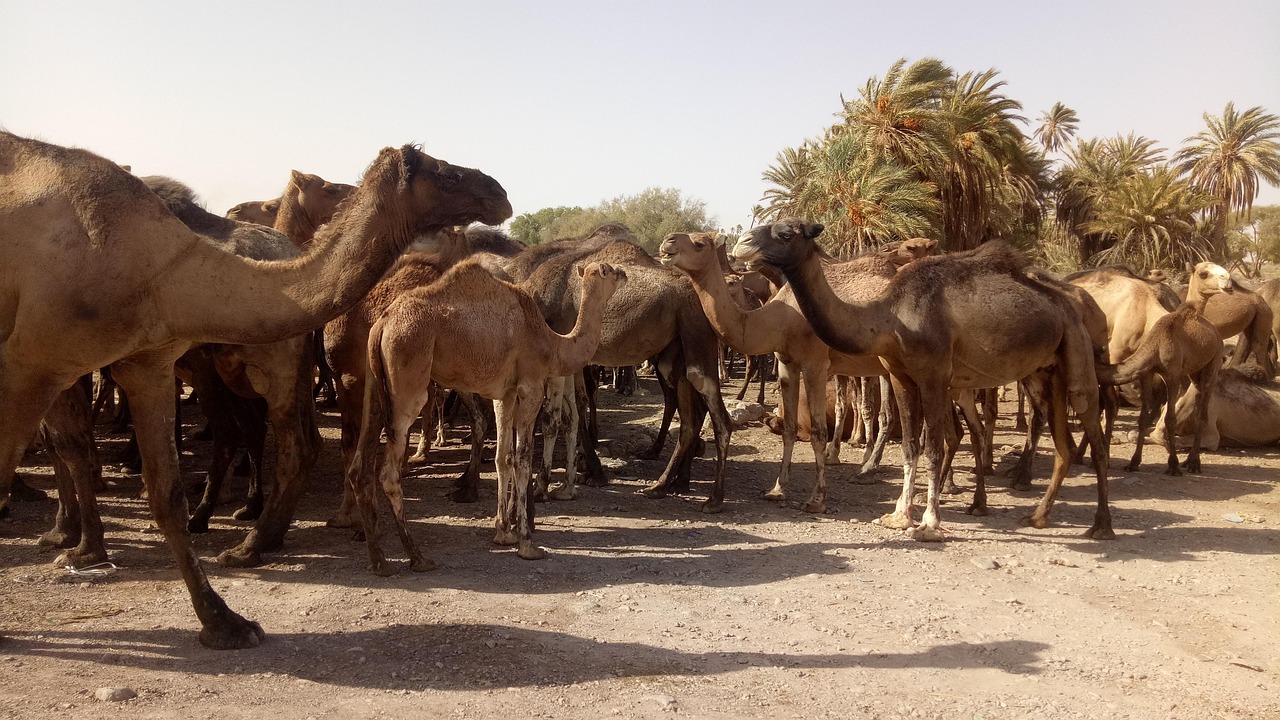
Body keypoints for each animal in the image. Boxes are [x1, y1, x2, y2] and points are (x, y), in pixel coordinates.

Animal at [0, 133, 511, 648]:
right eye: (445, 172)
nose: (501, 192)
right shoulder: (122, 361)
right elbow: (156, 488)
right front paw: (220, 620)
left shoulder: (52, 362)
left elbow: (67, 450)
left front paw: (75, 543)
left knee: (296, 442)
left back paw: (254, 540)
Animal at [350, 261, 627, 573]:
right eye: (608, 270)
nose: (625, 273)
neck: (550, 342)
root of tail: (382, 325)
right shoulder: (530, 386)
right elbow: (522, 459)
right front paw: (527, 542)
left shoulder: (505, 393)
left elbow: (502, 458)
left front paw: (503, 532)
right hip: (407, 374)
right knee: (389, 473)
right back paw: (417, 557)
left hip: (374, 384)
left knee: (360, 466)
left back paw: (379, 559)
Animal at [659, 231, 894, 513]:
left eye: (699, 243)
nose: (668, 242)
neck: (782, 317)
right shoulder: (786, 362)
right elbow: (789, 428)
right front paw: (777, 489)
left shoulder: (815, 365)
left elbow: (818, 432)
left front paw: (816, 499)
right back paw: (867, 467)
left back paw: (871, 472)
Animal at [732, 220, 1112, 541]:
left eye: (786, 233)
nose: (741, 243)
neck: (888, 316)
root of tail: (1069, 301)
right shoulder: (901, 376)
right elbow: (910, 445)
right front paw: (899, 516)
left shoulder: (932, 376)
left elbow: (932, 447)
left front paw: (929, 524)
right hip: (1046, 372)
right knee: (1062, 445)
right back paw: (1037, 516)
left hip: (1076, 353)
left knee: (1093, 431)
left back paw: (1101, 526)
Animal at [1099, 262, 1232, 475]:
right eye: (1204, 273)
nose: (1227, 281)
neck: (1157, 342)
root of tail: (1216, 334)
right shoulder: (1147, 373)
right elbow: (1143, 417)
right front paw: (1133, 462)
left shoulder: (1172, 375)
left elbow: (1170, 418)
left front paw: (1173, 465)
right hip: (1194, 373)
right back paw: (1189, 461)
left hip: (1212, 365)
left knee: (1203, 411)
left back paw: (1194, 463)